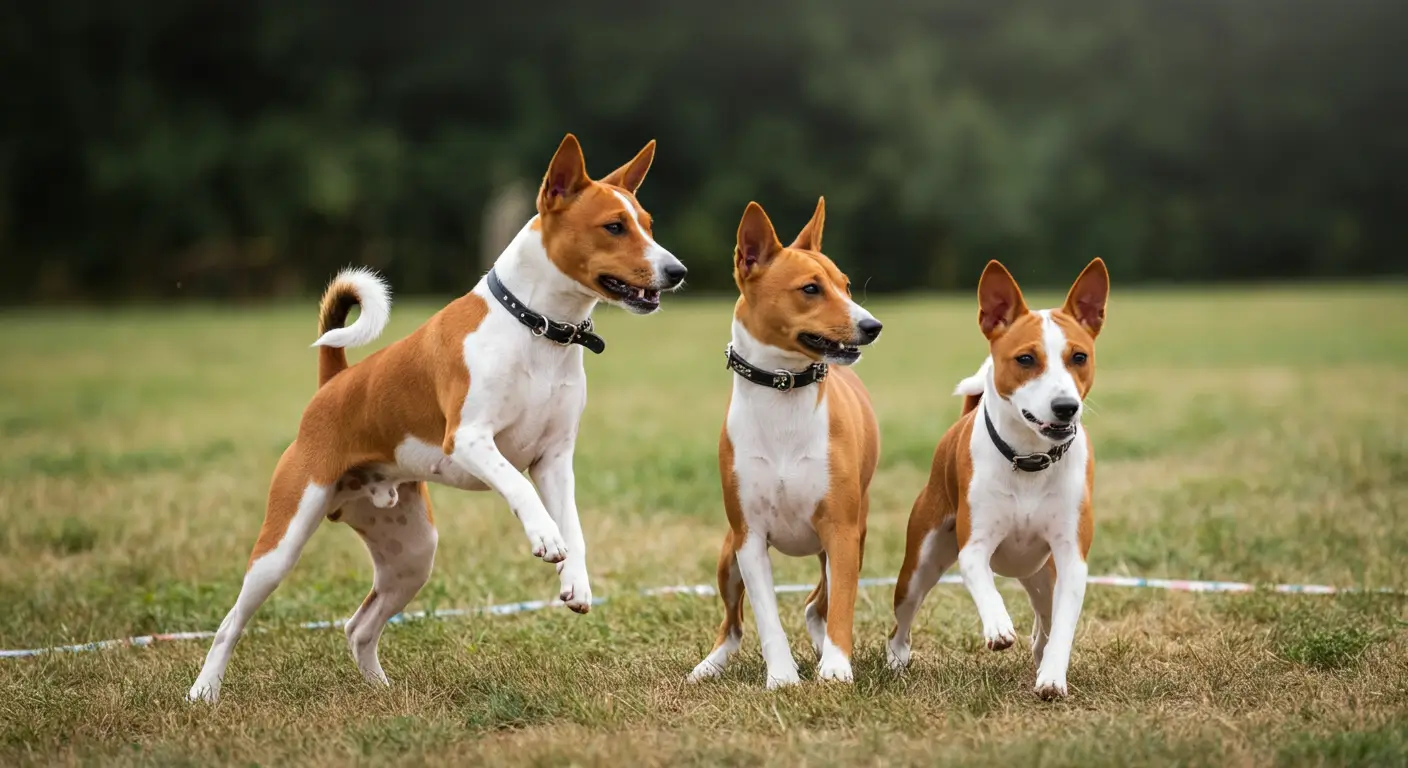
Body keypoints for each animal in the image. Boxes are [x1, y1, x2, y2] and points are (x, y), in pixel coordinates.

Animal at [188, 133, 687, 701]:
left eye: (647, 223)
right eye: (614, 226)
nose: (677, 272)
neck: (536, 329)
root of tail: (334, 382)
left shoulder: (556, 459)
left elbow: (575, 527)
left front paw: (576, 579)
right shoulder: (469, 440)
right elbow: (521, 489)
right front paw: (543, 535)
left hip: (412, 553)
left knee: (359, 625)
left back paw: (380, 690)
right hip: (282, 543)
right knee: (231, 622)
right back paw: (204, 692)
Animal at [684, 198, 878, 687]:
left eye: (846, 285)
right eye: (810, 289)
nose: (872, 325)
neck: (783, 388)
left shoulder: (842, 531)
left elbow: (841, 606)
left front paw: (836, 668)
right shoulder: (749, 537)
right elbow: (766, 615)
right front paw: (783, 678)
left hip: (850, 541)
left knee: (817, 604)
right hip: (727, 556)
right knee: (732, 624)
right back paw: (708, 666)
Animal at [889, 259, 1109, 701]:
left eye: (1079, 356)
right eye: (1025, 359)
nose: (1066, 407)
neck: (1030, 459)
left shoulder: (1071, 558)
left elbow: (1063, 625)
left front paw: (1052, 677)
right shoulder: (974, 545)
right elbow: (983, 580)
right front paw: (998, 626)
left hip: (1042, 574)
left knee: (1045, 619)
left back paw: (1040, 652)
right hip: (921, 562)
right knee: (903, 616)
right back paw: (897, 659)